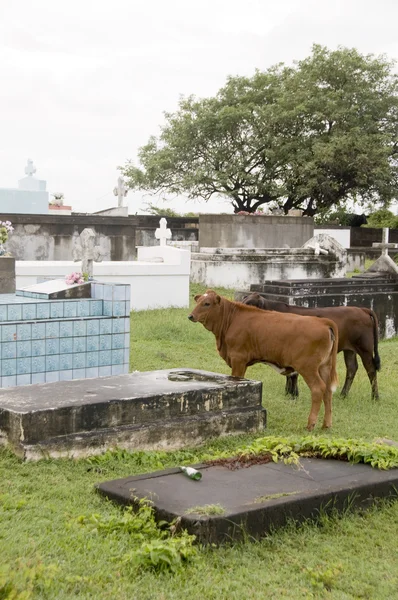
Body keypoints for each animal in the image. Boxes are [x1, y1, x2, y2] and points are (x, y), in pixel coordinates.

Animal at [188, 290, 338, 432]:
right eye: (198, 301)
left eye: (207, 303)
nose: (190, 316)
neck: (232, 319)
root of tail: (323, 322)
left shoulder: (238, 359)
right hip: (324, 367)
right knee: (328, 392)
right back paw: (326, 425)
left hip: (308, 368)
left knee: (318, 389)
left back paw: (310, 425)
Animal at [241, 292, 380, 400]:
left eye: (249, 304)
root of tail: (361, 309)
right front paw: (288, 393)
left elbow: (293, 374)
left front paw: (293, 395)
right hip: (349, 349)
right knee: (351, 368)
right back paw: (343, 395)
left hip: (365, 348)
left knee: (371, 369)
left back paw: (375, 397)